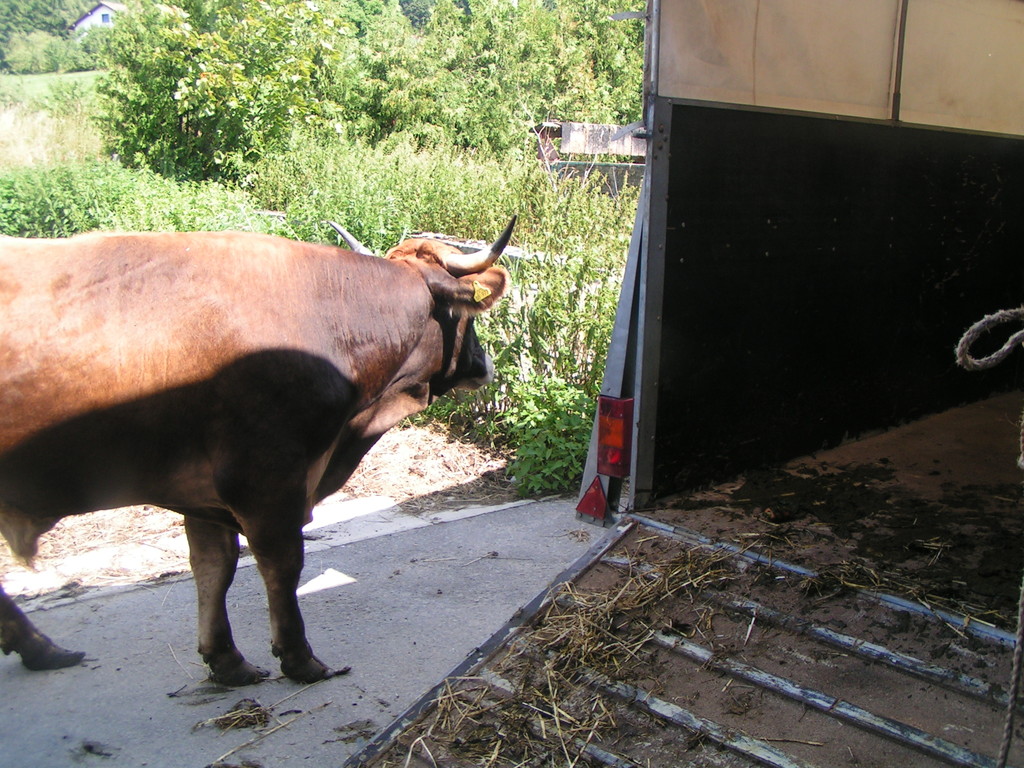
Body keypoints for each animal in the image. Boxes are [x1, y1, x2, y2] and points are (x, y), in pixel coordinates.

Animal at [0, 219, 512, 688]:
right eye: (467, 315)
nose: (484, 364)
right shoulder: (266, 477)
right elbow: (282, 565)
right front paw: (300, 658)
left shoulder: (203, 493)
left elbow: (214, 567)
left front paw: (226, 659)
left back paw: (41, 649)